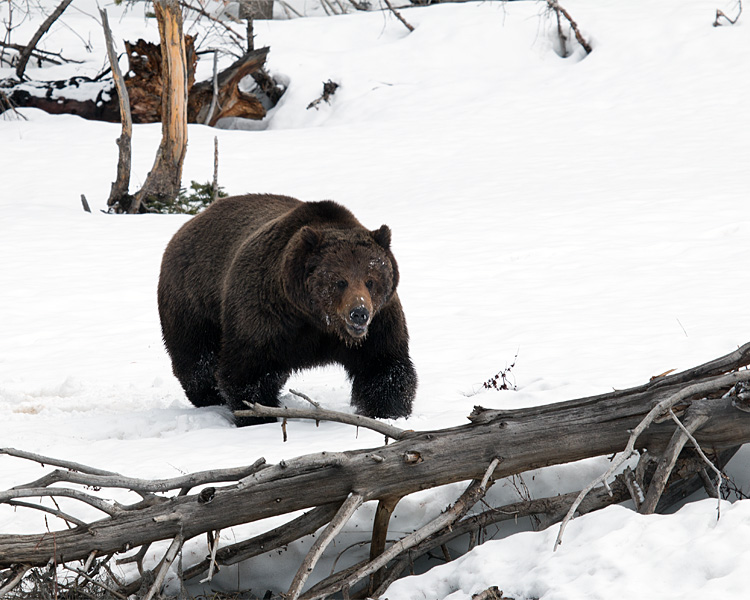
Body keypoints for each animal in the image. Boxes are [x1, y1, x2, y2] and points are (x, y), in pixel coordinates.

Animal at [158, 195, 418, 424]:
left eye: (370, 280)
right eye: (340, 281)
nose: (359, 313)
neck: (317, 320)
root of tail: (191, 221)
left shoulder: (379, 322)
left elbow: (384, 366)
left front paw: (387, 413)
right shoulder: (266, 316)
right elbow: (247, 369)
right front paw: (259, 415)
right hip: (193, 301)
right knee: (197, 359)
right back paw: (209, 397)